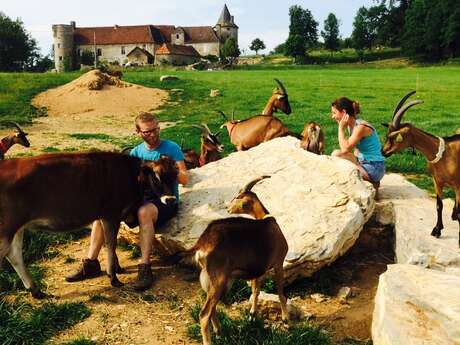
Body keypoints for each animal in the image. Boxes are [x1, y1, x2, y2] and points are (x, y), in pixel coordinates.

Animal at [0, 152, 178, 296]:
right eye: (156, 177)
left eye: (175, 176)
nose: (171, 199)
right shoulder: (110, 214)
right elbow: (111, 244)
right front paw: (113, 277)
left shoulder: (106, 216)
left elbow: (109, 243)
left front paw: (117, 269)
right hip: (7, 229)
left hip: (17, 228)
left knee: (14, 255)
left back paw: (36, 291)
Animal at [183, 176, 288, 342]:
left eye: (237, 197)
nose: (228, 208)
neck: (268, 221)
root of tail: (202, 244)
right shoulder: (279, 262)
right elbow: (280, 293)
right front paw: (286, 319)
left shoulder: (258, 270)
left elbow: (255, 290)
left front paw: (252, 315)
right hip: (218, 279)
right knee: (204, 313)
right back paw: (210, 339)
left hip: (210, 279)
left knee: (211, 308)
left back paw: (219, 331)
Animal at [380, 90, 460, 246]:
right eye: (387, 135)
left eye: (394, 137)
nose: (383, 151)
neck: (443, 153)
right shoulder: (437, 181)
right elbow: (439, 205)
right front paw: (437, 230)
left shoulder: (458, 184)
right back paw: (453, 215)